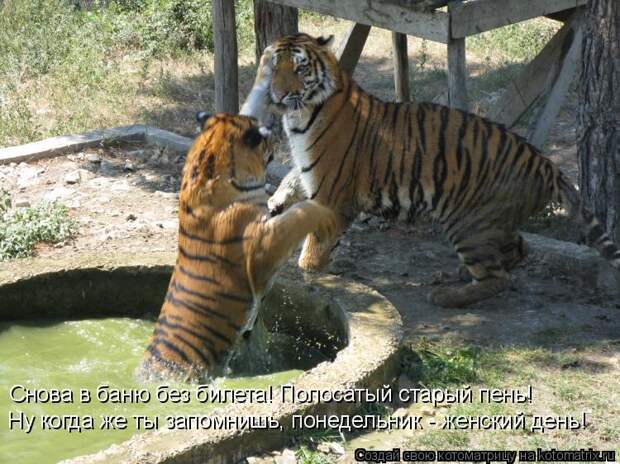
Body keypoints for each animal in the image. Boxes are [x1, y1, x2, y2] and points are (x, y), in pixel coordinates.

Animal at [240, 32, 620, 308]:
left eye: (300, 69)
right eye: (273, 67)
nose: (278, 93)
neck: (300, 116)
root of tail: (544, 162)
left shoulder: (332, 195)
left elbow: (313, 251)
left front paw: (315, 277)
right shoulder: (310, 171)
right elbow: (293, 178)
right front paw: (276, 202)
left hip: (467, 221)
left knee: (498, 277)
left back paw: (446, 295)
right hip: (492, 221)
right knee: (518, 249)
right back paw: (455, 274)